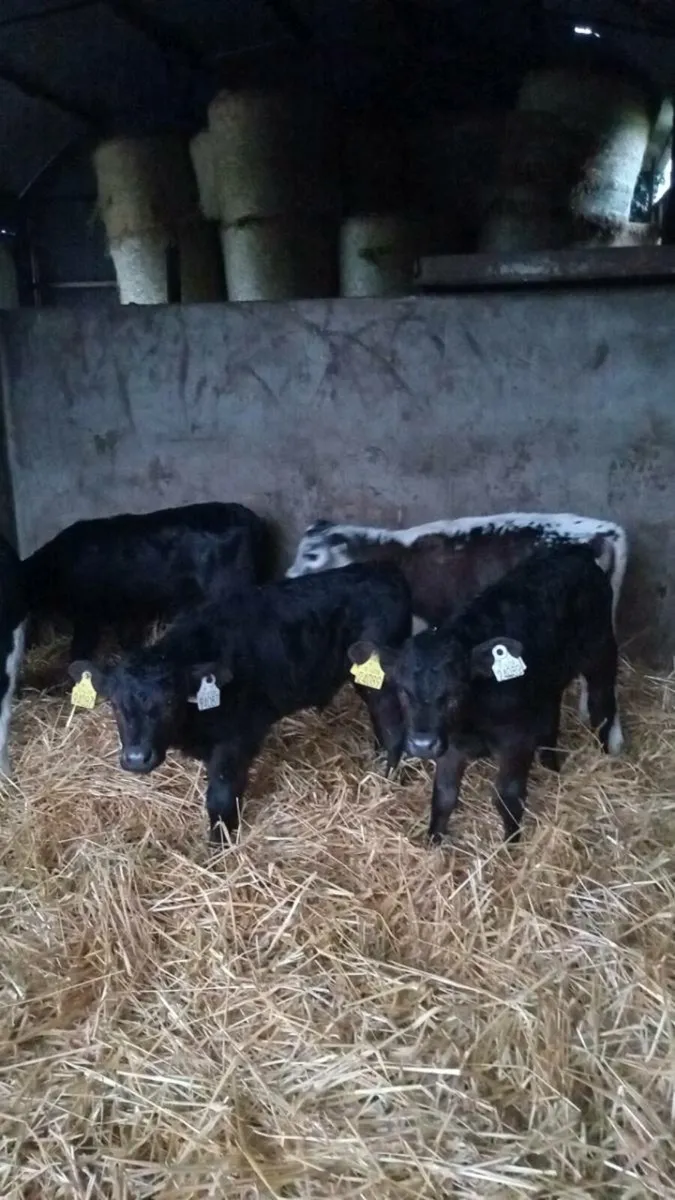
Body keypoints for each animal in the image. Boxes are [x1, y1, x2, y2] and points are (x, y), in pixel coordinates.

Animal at [24, 502, 277, 662]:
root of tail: (254, 520)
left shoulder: (88, 613)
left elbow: (80, 648)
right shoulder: (124, 608)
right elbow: (127, 640)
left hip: (229, 586)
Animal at [68, 562, 412, 845]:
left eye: (168, 701)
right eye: (114, 704)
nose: (137, 758)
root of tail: (384, 571)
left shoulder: (236, 740)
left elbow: (220, 797)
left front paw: (220, 845)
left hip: (378, 679)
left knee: (392, 723)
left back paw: (387, 774)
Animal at [346, 542, 622, 847]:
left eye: (455, 690)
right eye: (403, 691)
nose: (422, 744)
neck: (471, 721)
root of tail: (576, 550)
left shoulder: (517, 741)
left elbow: (508, 795)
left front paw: (511, 844)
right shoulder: (451, 747)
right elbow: (443, 797)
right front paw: (433, 842)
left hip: (601, 649)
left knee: (602, 705)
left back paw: (606, 755)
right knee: (553, 713)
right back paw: (552, 765)